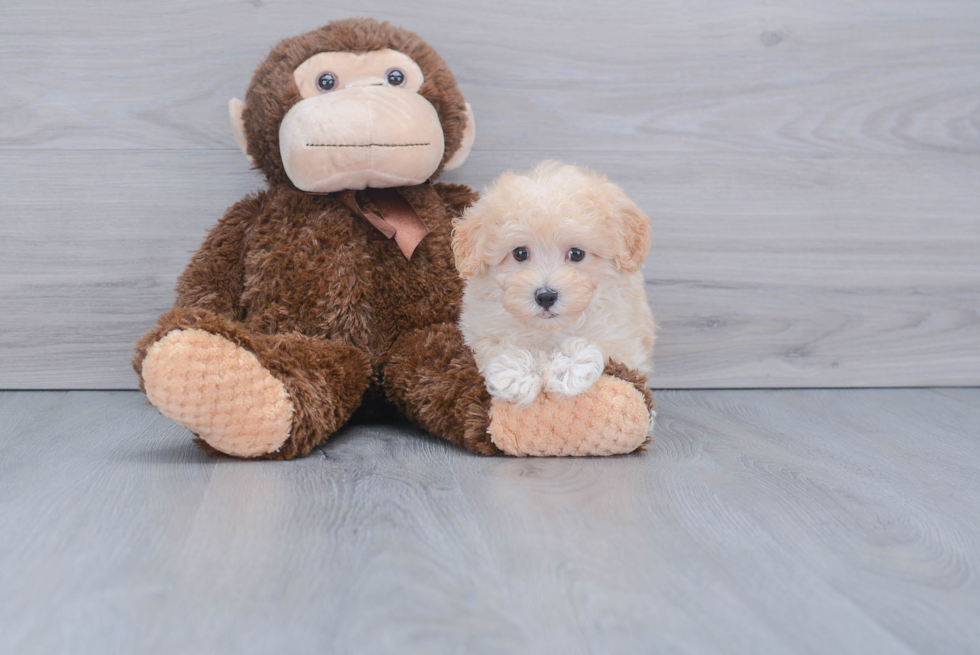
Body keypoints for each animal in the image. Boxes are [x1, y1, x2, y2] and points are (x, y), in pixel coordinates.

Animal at [454, 160, 656, 404]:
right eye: (520, 253)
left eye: (577, 254)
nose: (546, 296)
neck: (549, 330)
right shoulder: (480, 330)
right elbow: (497, 344)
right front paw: (517, 374)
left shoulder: (624, 341)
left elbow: (599, 345)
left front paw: (567, 369)